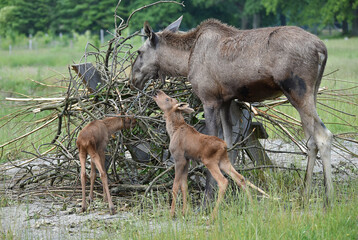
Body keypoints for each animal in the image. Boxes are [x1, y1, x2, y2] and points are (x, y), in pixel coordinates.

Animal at [131, 16, 332, 204]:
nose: (133, 78)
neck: (185, 61)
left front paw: (208, 198)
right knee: (311, 141)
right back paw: (305, 195)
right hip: (310, 92)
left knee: (324, 135)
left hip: (297, 90)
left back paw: (328, 199)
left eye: (139, 52)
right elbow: (229, 145)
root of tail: (322, 49)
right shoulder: (226, 101)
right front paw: (233, 192)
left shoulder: (210, 100)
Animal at [152, 90, 268, 219]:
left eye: (168, 99)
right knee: (240, 178)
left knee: (223, 182)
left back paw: (213, 216)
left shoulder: (179, 158)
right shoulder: (187, 160)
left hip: (210, 161)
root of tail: (224, 146)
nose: (158, 91)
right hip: (223, 162)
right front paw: (183, 212)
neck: (173, 129)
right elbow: (184, 186)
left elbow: (175, 186)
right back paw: (253, 207)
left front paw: (172, 214)